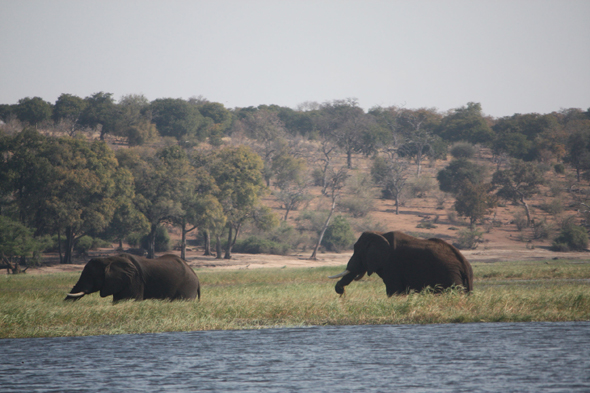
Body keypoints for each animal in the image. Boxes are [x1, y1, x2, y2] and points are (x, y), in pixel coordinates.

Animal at [328, 231, 476, 296]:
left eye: (358, 251)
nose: (341, 291)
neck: (379, 234)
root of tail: (464, 264)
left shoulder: (392, 264)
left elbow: (393, 291)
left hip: (451, 277)